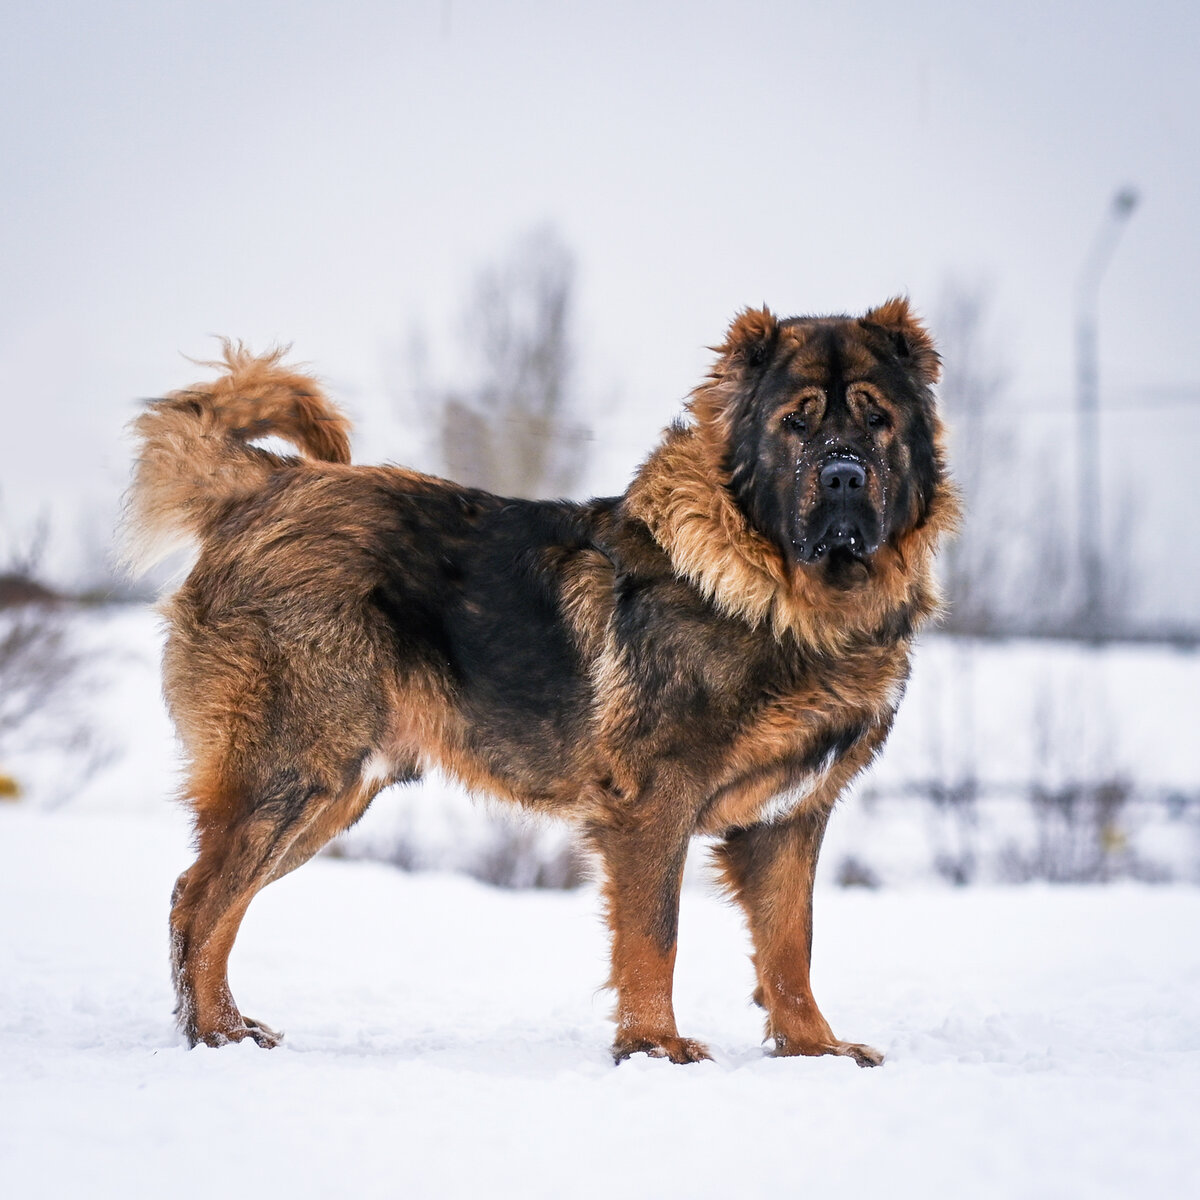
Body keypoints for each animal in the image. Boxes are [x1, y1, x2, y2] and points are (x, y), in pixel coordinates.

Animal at [126, 304, 955, 1065]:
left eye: (877, 420)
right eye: (794, 424)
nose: (843, 475)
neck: (789, 598)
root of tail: (271, 484)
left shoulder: (791, 816)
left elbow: (790, 945)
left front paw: (815, 1049)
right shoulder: (655, 801)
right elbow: (656, 934)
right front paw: (655, 1047)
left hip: (332, 793)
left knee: (205, 901)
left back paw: (227, 1027)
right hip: (293, 771)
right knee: (199, 903)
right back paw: (218, 1037)